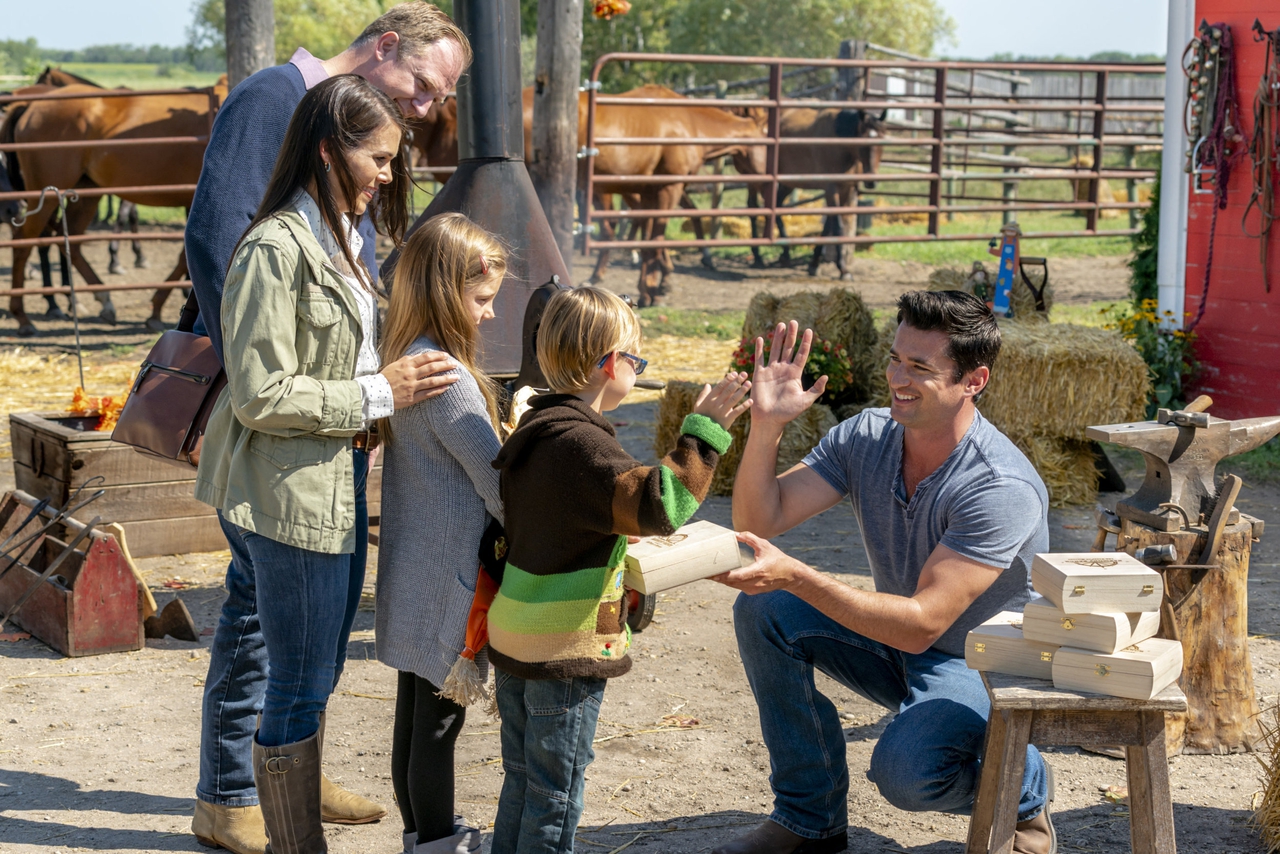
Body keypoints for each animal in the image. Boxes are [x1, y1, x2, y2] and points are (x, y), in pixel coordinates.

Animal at [1, 75, 226, 338]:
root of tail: (31, 107)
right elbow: (187, 258)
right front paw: (157, 309)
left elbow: (186, 258)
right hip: (45, 195)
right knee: (23, 243)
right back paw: (22, 316)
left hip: (86, 192)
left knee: (70, 243)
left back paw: (103, 300)